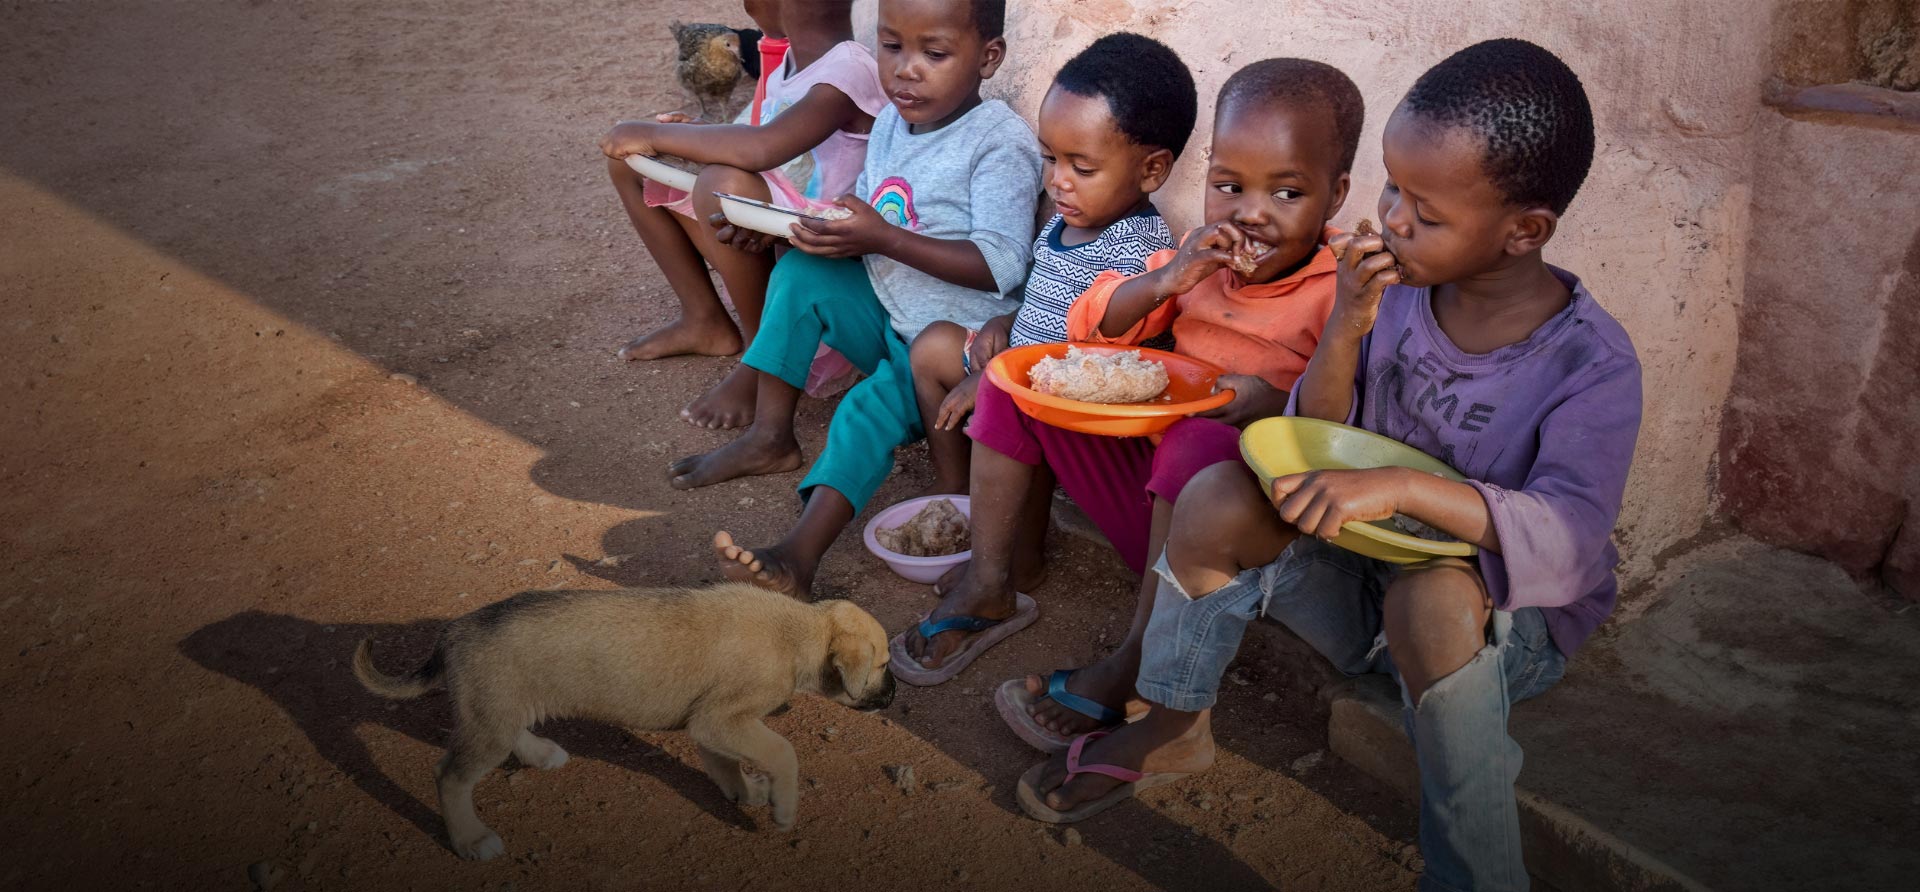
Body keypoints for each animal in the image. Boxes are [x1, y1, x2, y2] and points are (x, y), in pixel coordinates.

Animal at [353, 579, 890, 859]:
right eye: (883, 666)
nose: (895, 694)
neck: (800, 631)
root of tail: (453, 632)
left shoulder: (711, 723)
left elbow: (725, 765)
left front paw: (746, 791)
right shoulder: (721, 718)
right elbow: (783, 751)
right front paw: (782, 807)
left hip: (499, 712)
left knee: (511, 736)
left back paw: (541, 754)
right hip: (486, 727)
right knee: (449, 776)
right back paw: (470, 839)